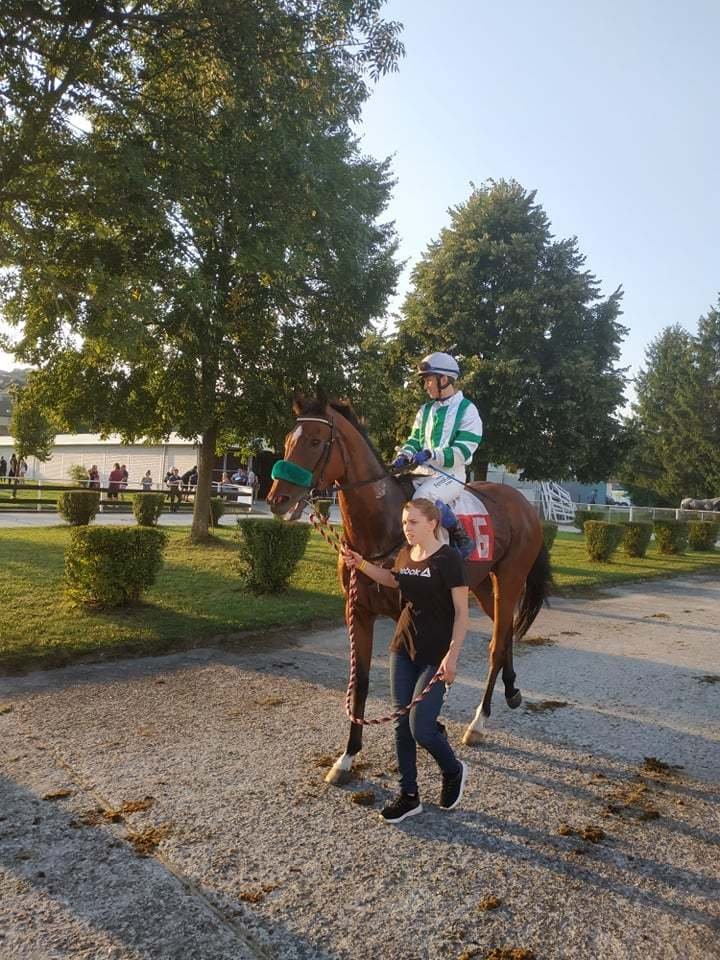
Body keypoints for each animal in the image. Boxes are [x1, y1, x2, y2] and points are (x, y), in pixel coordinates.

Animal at [268, 394, 556, 784]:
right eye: (287, 439)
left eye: (314, 441)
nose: (277, 500)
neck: (384, 527)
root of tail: (524, 504)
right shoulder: (358, 611)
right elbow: (360, 681)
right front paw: (346, 757)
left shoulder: (408, 610)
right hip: (482, 585)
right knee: (505, 632)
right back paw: (511, 692)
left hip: (509, 579)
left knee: (497, 645)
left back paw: (478, 722)